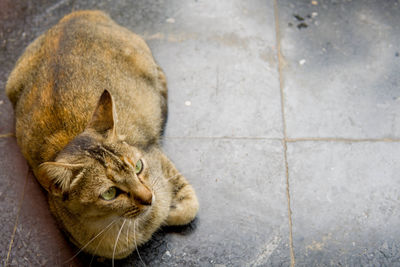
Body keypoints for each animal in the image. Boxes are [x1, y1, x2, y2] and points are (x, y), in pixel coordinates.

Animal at [5, 9, 199, 260]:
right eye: (109, 193)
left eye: (138, 167)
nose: (148, 198)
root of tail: (74, 15)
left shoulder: (156, 155)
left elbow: (187, 206)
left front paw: (168, 209)